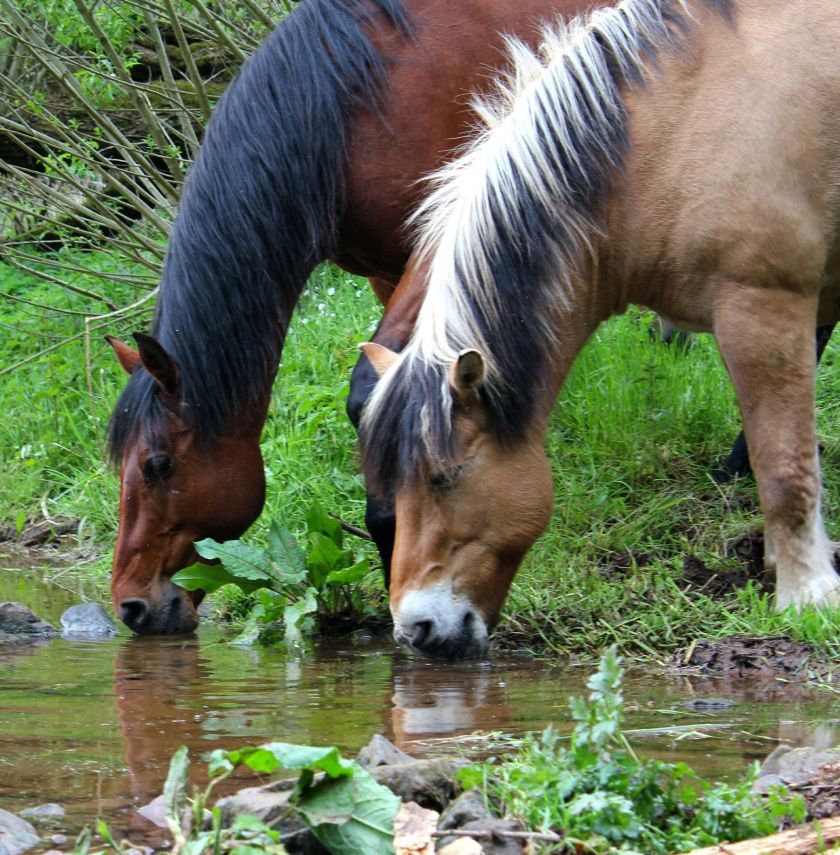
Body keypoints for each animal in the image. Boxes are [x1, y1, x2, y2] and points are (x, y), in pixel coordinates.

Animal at [360, 0, 840, 664]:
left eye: (447, 476)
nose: (416, 630)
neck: (671, 128)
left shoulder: (764, 308)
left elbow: (785, 467)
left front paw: (808, 596)